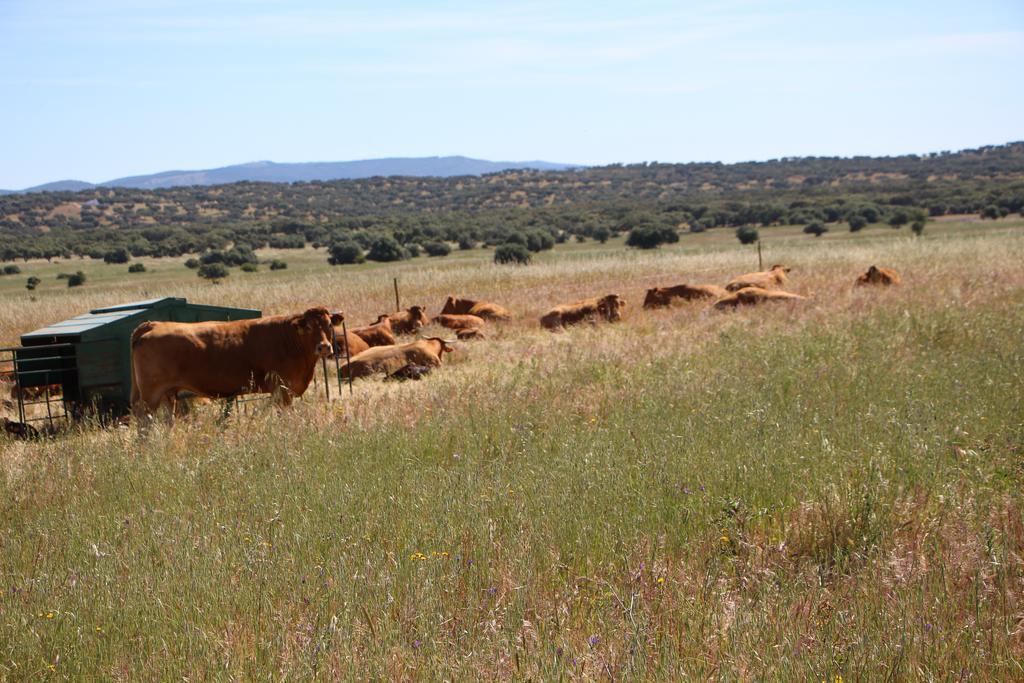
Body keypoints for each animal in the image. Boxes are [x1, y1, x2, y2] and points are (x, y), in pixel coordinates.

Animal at [130, 307, 339, 419]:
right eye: (309, 326)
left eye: (329, 325)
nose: (324, 347)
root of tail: (154, 324)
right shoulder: (282, 389)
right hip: (150, 395)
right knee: (144, 421)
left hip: (168, 394)